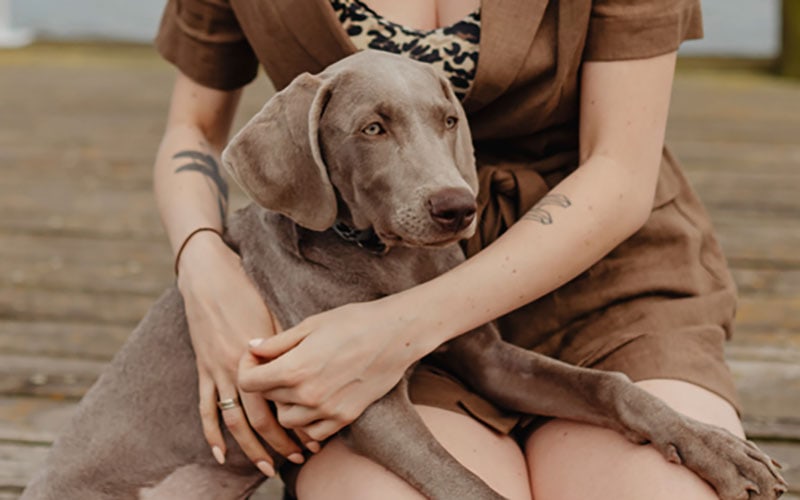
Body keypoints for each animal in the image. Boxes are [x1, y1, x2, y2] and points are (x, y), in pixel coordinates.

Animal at [21, 48, 784, 498]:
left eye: (447, 120)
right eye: (372, 128)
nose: (456, 207)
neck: (389, 261)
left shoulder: (487, 356)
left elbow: (610, 384)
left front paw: (719, 449)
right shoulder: (355, 401)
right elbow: (467, 485)